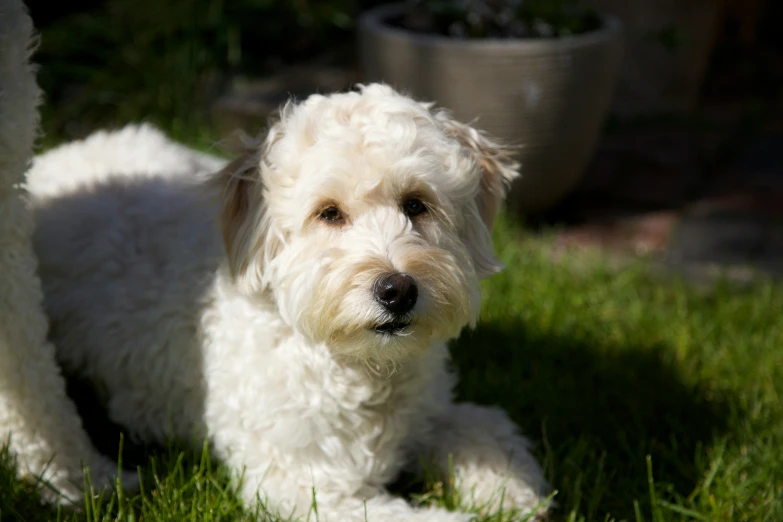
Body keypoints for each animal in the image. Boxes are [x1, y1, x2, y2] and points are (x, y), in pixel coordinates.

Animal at [27, 83, 548, 516]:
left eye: (416, 203)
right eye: (329, 213)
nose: (397, 290)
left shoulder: (430, 414)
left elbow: (484, 427)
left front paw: (510, 491)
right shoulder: (305, 486)